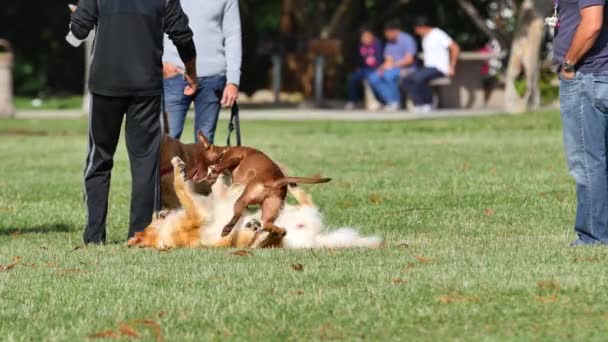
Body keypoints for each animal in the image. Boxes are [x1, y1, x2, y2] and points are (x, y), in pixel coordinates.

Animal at [127, 156, 382, 250]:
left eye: (152, 218)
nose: (158, 211)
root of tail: (313, 237)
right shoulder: (198, 213)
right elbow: (182, 188)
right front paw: (179, 168)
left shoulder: (215, 201)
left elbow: (217, 187)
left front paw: (214, 171)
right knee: (270, 236)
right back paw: (257, 229)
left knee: (305, 200)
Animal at [191, 132, 330, 239]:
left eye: (198, 160)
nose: (192, 175)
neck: (224, 151)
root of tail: (273, 182)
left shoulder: (235, 157)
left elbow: (222, 165)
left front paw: (214, 172)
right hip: (270, 205)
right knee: (268, 225)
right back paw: (279, 232)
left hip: (244, 198)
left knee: (237, 215)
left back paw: (227, 229)